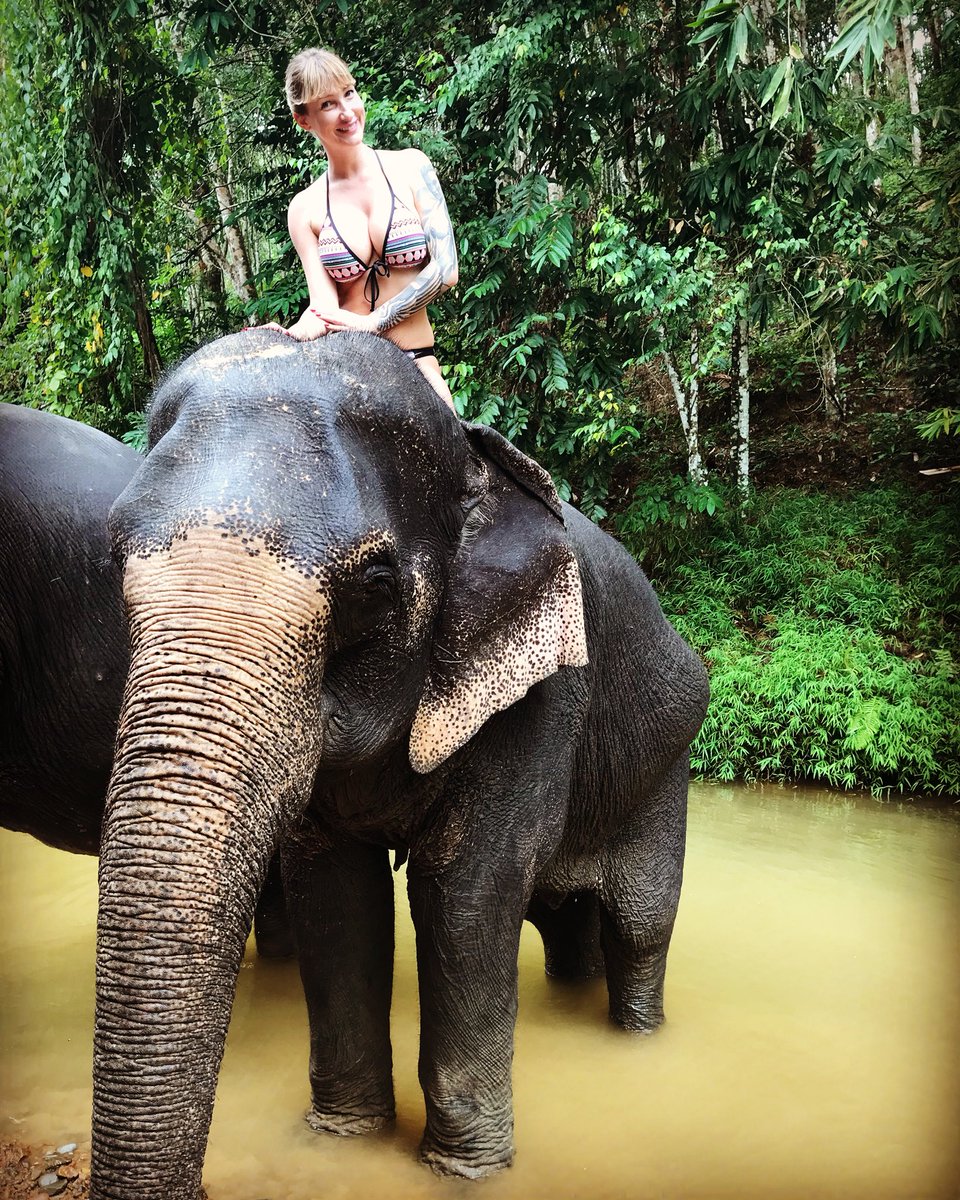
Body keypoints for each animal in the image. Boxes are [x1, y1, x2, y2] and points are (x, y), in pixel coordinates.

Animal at [93, 329, 709, 1200]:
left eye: (375, 582)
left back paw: (637, 1037)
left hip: (666, 764)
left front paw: (466, 1171)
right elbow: (333, 889)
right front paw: (345, 1140)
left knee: (642, 926)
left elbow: (467, 887)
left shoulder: (542, 695)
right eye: (113, 556)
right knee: (568, 924)